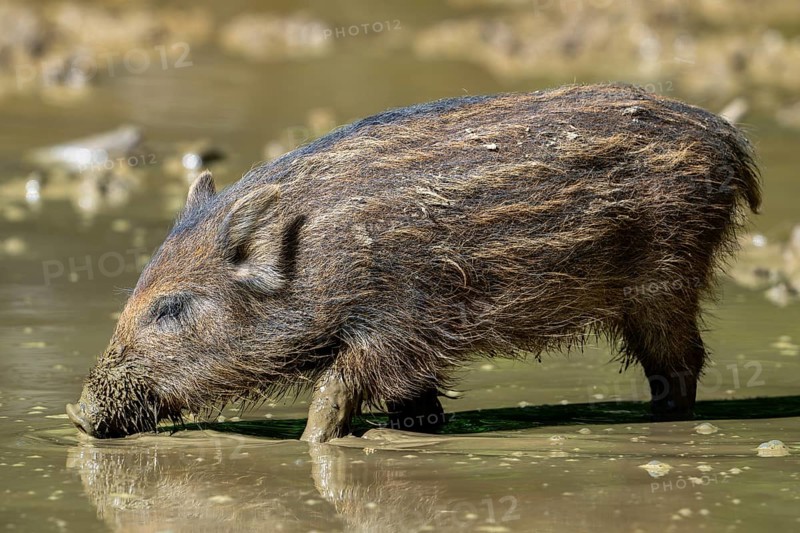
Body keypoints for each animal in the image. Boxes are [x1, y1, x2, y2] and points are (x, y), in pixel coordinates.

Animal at [67, 83, 760, 442]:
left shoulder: (401, 322)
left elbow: (343, 381)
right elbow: (411, 398)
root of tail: (723, 134)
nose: (77, 414)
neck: (322, 261)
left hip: (664, 281)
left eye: (170, 308)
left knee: (683, 360)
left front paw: (312, 443)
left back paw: (663, 420)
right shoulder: (408, 349)